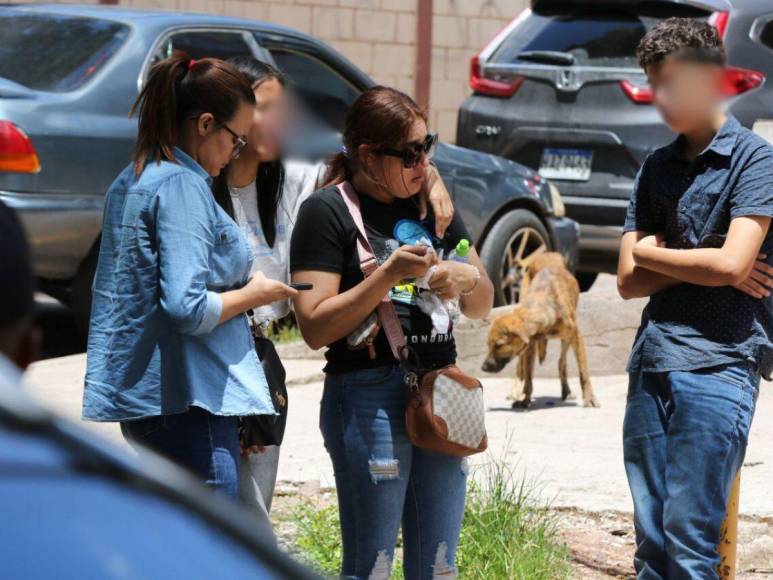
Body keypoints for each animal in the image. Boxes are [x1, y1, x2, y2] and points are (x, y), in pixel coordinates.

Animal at [480, 253, 600, 408]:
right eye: (489, 345)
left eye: (498, 345)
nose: (483, 368)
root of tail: (548, 254)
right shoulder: (529, 345)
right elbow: (528, 376)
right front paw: (525, 399)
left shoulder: (576, 336)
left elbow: (583, 372)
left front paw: (589, 398)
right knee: (521, 366)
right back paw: (515, 390)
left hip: (566, 339)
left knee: (561, 362)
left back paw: (566, 390)